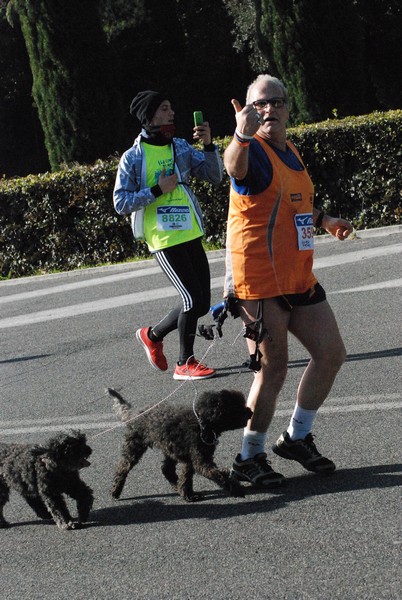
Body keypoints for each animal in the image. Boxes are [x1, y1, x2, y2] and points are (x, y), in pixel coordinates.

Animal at [107, 390, 251, 502]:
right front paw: (236, 489)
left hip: (169, 448)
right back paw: (115, 491)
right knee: (122, 467)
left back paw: (176, 486)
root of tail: (134, 414)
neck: (202, 424)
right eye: (236, 408)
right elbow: (218, 475)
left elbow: (186, 477)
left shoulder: (190, 458)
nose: (250, 411)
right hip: (135, 445)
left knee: (166, 469)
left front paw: (188, 495)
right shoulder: (200, 461)